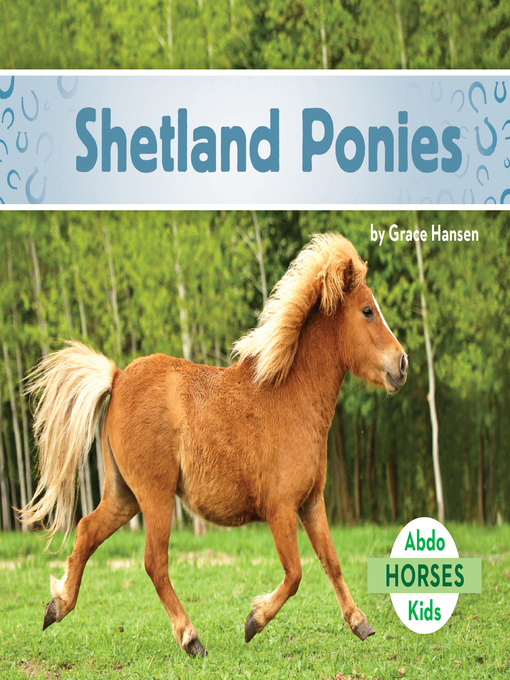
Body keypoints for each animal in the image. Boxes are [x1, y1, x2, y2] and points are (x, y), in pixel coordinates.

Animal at [20, 233, 408, 658]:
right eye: (368, 311)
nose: (402, 364)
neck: (291, 397)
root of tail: (118, 377)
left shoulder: (311, 503)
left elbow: (331, 561)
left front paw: (360, 623)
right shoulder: (281, 510)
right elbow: (295, 574)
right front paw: (254, 621)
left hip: (124, 496)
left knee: (87, 530)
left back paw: (57, 606)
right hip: (155, 497)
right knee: (154, 562)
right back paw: (191, 639)